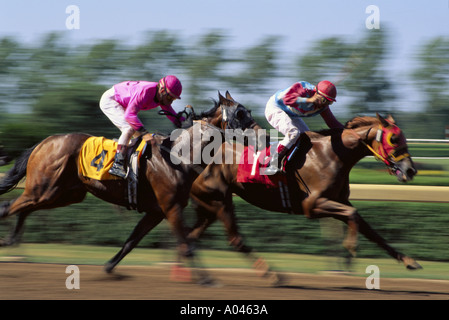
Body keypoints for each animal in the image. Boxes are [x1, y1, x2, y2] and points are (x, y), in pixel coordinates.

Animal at [0, 92, 262, 278]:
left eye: (246, 111)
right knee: (10, 206)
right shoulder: (172, 208)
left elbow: (131, 242)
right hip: (45, 189)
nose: (262, 134)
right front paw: (206, 280)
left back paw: (11, 239)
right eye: (240, 113)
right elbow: (187, 244)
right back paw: (8, 241)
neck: (177, 157)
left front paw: (109, 267)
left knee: (20, 206)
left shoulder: (157, 211)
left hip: (61, 194)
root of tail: (43, 142)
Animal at [186, 113, 424, 278]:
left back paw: (200, 276)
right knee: (234, 239)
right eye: (394, 139)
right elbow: (353, 214)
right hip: (220, 201)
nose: (411, 170)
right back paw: (272, 275)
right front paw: (349, 252)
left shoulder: (337, 200)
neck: (333, 154)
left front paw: (409, 261)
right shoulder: (313, 205)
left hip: (208, 205)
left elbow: (371, 231)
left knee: (191, 238)